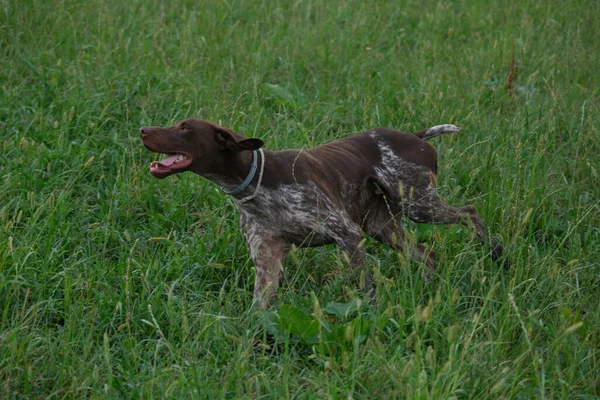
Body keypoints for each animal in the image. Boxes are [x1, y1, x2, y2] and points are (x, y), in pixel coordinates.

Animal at [139, 119, 502, 310]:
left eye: (185, 128)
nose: (143, 130)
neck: (258, 183)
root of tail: (416, 135)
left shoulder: (347, 235)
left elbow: (365, 288)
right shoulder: (267, 261)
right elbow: (258, 309)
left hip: (418, 204)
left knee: (470, 213)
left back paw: (497, 255)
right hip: (383, 225)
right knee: (428, 255)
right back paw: (430, 291)